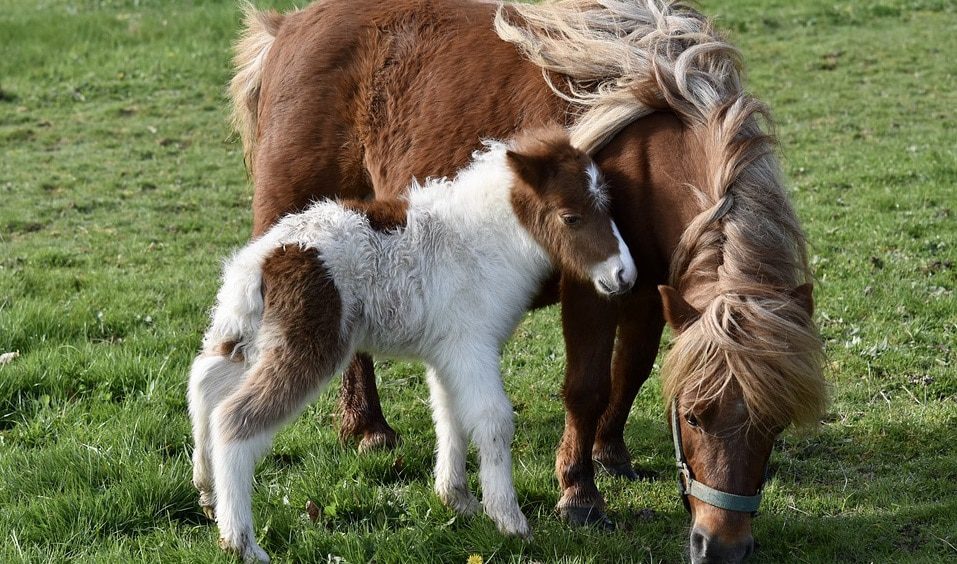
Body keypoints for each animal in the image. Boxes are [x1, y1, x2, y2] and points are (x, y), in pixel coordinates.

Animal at [187, 126, 636, 560]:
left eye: (608, 207)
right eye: (571, 217)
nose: (624, 275)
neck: (482, 242)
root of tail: (260, 262)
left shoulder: (447, 354)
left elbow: (449, 415)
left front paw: (457, 500)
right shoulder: (473, 346)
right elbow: (493, 420)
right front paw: (509, 520)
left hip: (244, 333)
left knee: (205, 382)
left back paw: (208, 494)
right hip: (309, 346)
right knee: (234, 419)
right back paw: (241, 542)